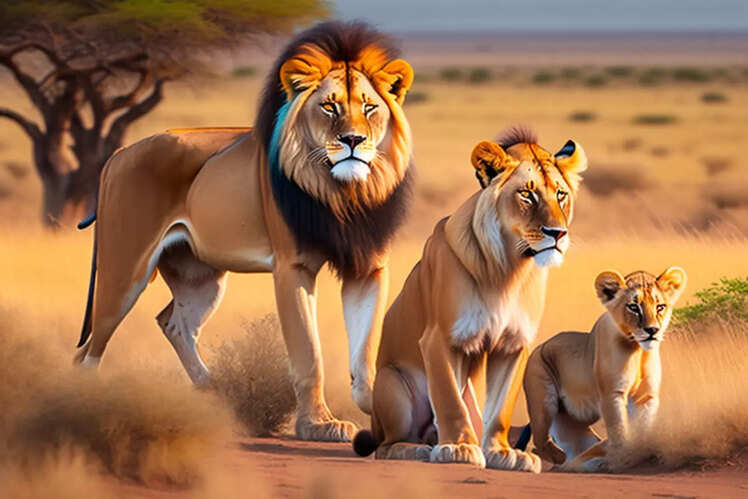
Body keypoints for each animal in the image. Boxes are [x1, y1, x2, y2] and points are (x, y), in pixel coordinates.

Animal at [73, 22, 415, 442]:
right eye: (329, 106)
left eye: (369, 107)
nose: (353, 140)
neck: (343, 194)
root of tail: (117, 155)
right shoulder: (292, 267)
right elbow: (309, 353)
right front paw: (318, 424)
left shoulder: (368, 267)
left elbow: (366, 348)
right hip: (124, 273)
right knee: (89, 349)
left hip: (201, 278)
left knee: (174, 324)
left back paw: (216, 395)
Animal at [352, 129, 588, 472]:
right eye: (526, 195)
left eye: (560, 195)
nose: (557, 233)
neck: (509, 268)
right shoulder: (439, 338)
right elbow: (449, 398)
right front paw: (460, 448)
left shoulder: (514, 345)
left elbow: (501, 407)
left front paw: (502, 452)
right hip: (389, 383)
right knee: (387, 445)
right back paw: (420, 449)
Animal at [517, 267, 687, 472]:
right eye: (633, 307)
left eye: (660, 307)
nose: (652, 330)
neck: (638, 350)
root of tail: (540, 347)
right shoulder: (611, 394)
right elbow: (619, 430)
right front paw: (622, 457)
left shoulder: (646, 396)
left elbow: (643, 427)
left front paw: (641, 450)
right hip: (543, 401)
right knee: (540, 441)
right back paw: (562, 459)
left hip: (572, 425)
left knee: (577, 448)